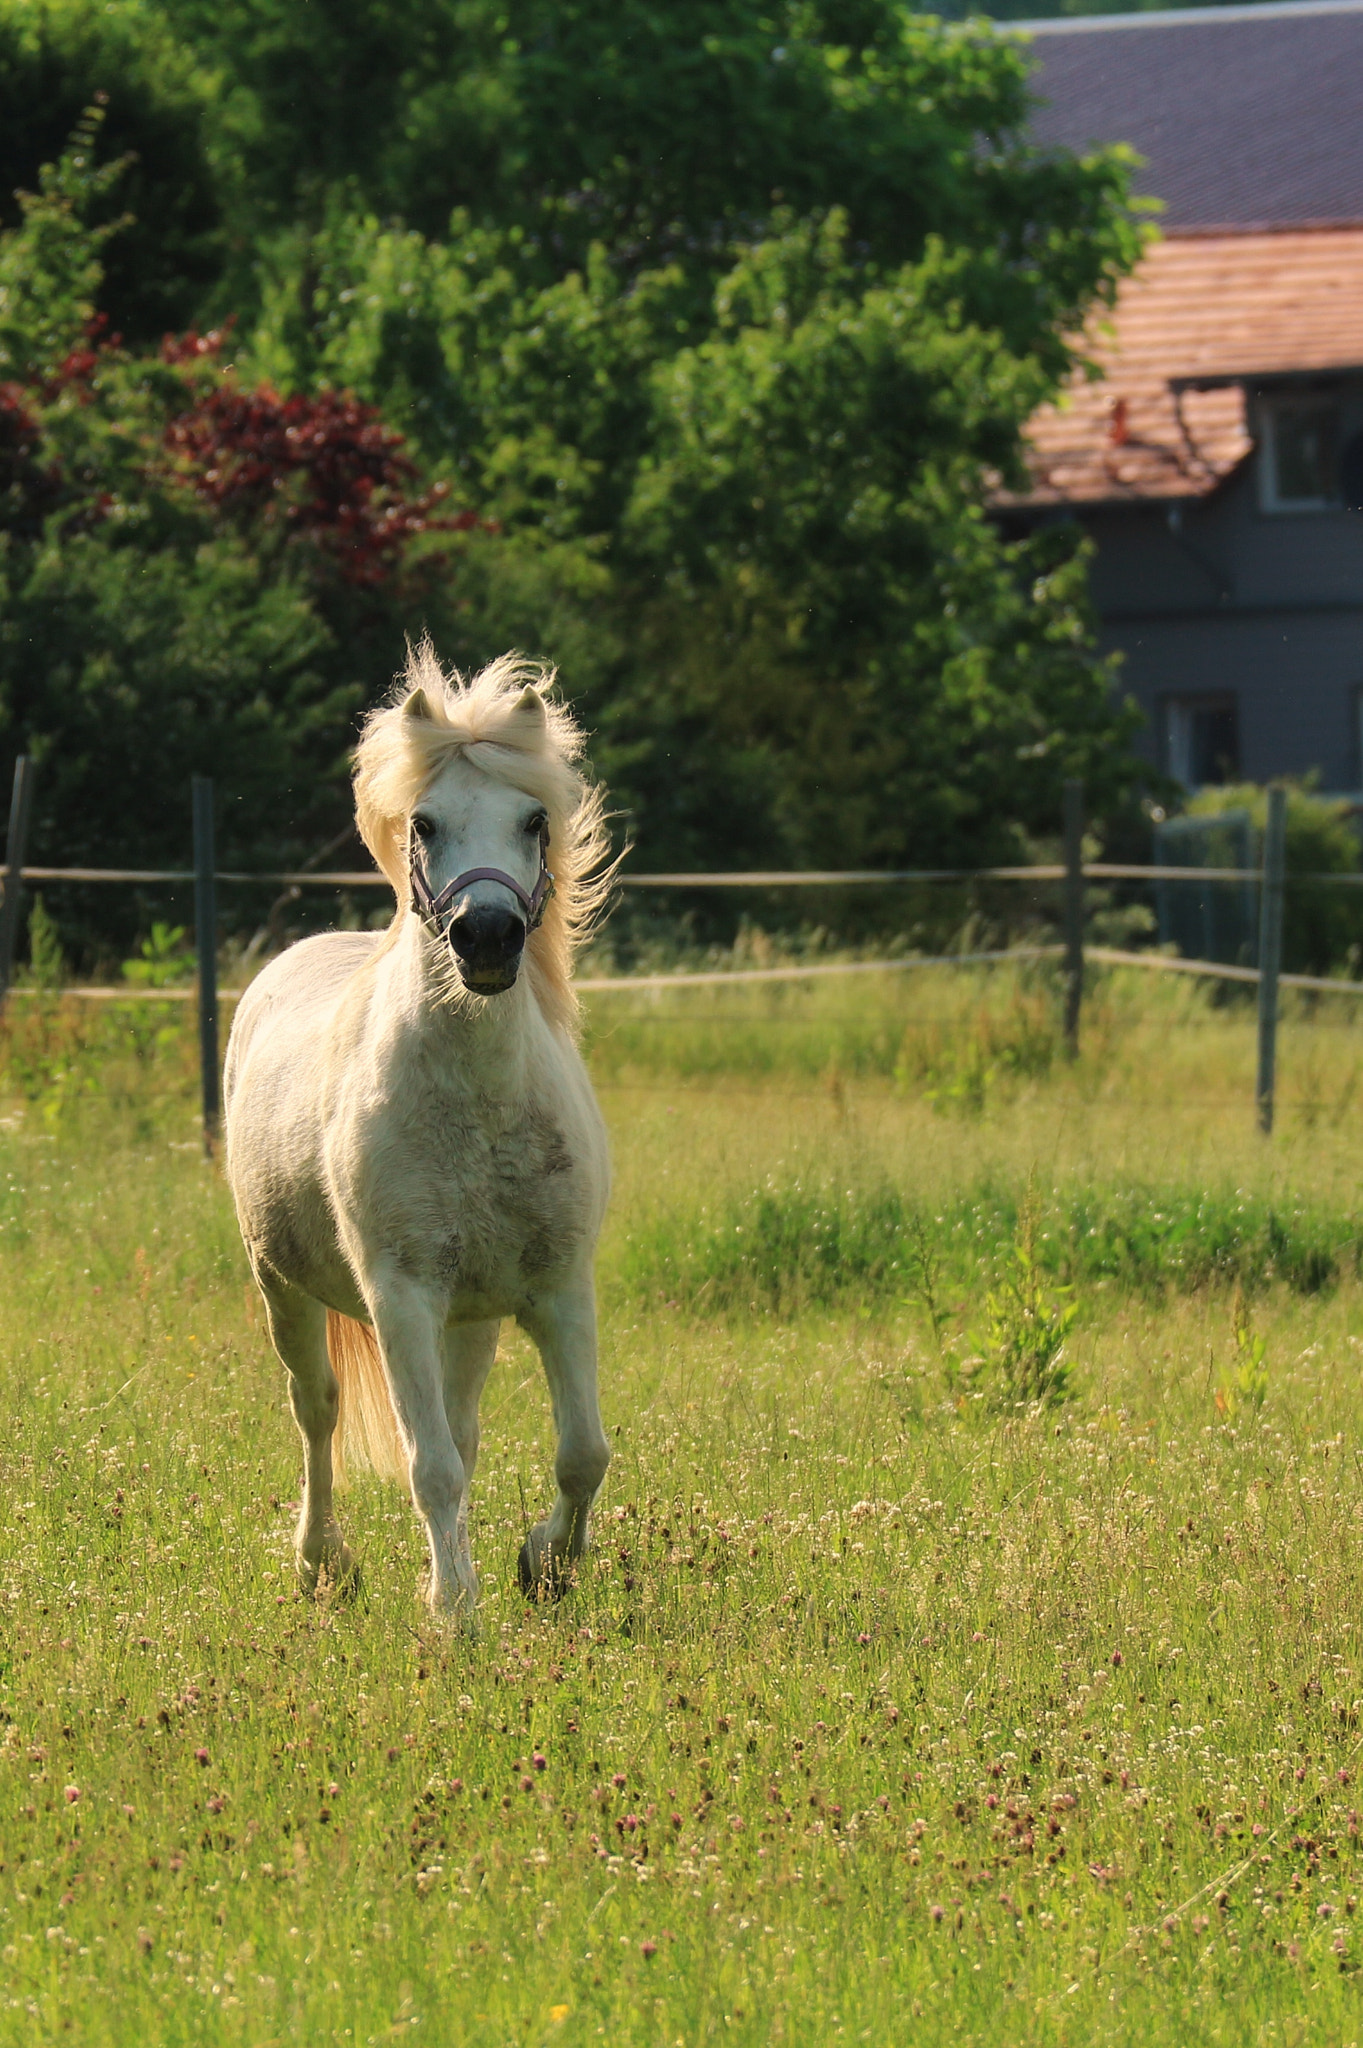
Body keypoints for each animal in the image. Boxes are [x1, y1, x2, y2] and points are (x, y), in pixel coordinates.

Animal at [222, 643, 616, 1625]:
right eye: (427, 823)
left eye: (534, 822)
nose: (488, 936)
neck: (479, 1106)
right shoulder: (399, 1297)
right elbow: (428, 1466)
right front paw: (452, 1610)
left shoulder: (557, 1289)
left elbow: (581, 1452)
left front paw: (544, 1566)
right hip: (283, 1288)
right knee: (317, 1411)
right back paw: (322, 1563)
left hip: (469, 1319)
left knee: (465, 1430)